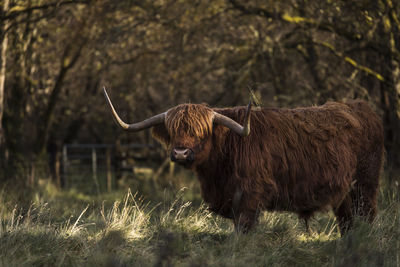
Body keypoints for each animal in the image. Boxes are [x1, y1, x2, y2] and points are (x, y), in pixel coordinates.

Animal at [103, 88, 384, 234]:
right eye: (173, 131)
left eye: (201, 132)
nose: (181, 153)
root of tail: (361, 107)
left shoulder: (250, 196)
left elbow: (243, 230)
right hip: (344, 194)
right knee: (347, 221)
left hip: (365, 184)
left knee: (367, 215)